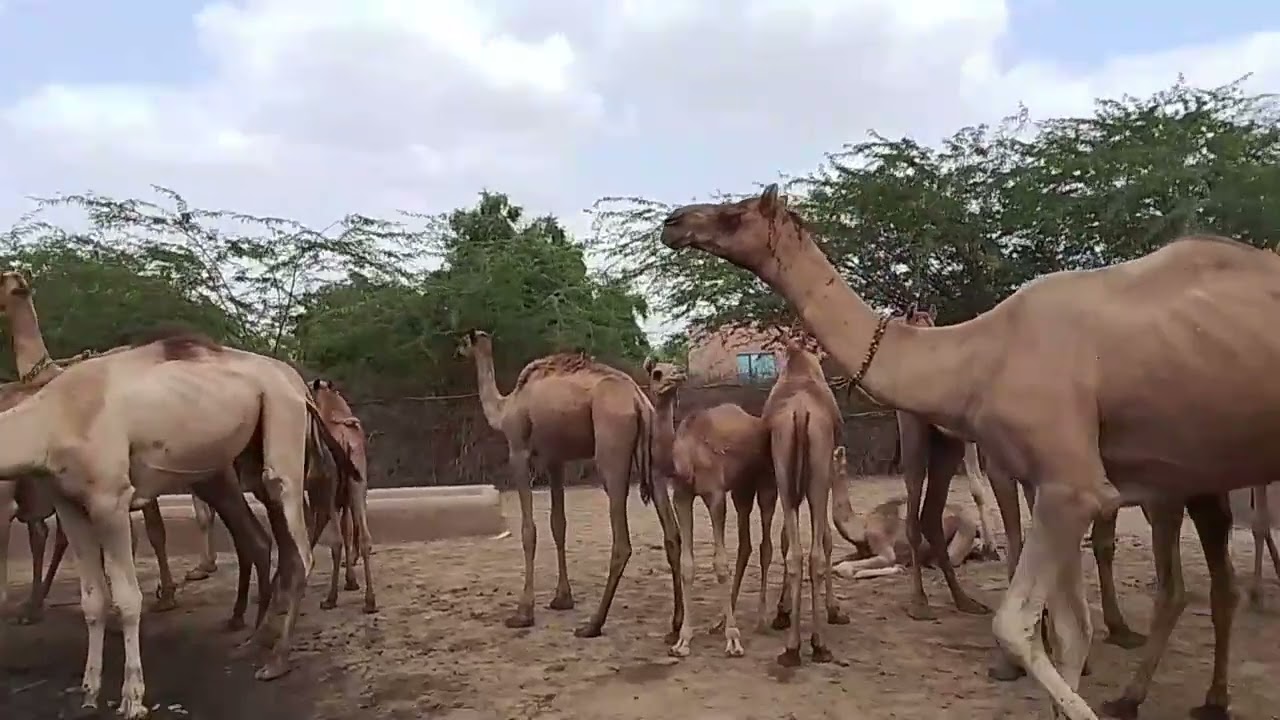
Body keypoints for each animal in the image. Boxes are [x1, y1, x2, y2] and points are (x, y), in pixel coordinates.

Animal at [457, 330, 682, 638]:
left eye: (464, 341)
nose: (457, 350)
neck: (505, 407)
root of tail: (639, 400)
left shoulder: (518, 450)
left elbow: (529, 530)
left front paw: (523, 613)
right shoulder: (555, 459)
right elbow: (558, 524)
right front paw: (562, 599)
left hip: (611, 450)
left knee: (621, 540)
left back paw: (592, 625)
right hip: (655, 458)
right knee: (672, 534)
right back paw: (675, 625)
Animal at [829, 446, 982, 580]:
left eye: (832, 458)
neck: (861, 527)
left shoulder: (883, 547)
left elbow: (844, 567)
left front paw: (898, 568)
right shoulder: (861, 551)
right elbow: (834, 562)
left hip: (962, 533)